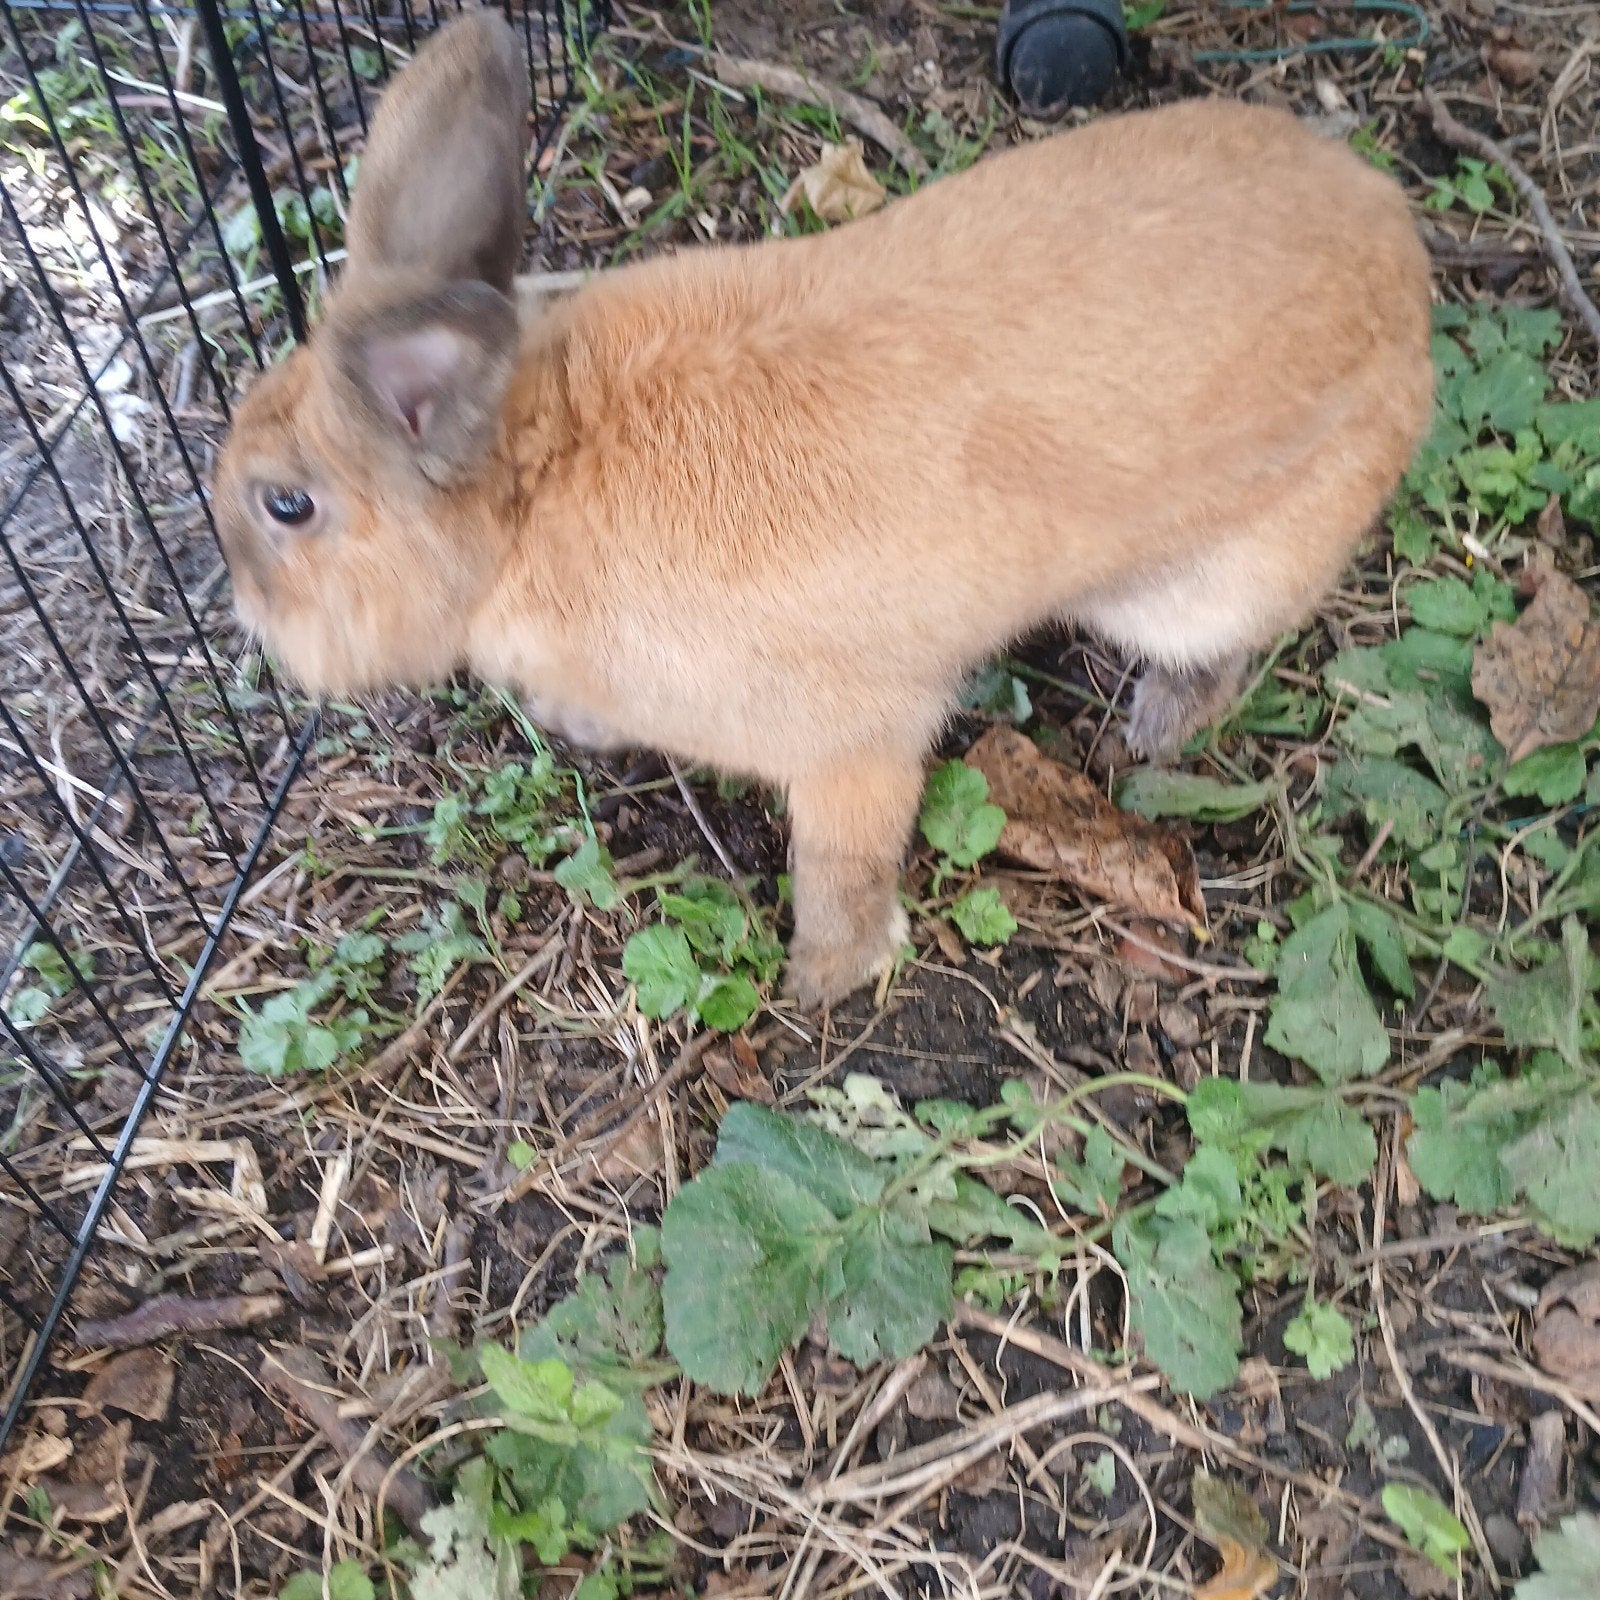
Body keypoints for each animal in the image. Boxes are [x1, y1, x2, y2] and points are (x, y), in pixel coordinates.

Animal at [213, 11, 1435, 1009]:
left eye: (288, 506)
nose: (250, 620)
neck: (529, 492)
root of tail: (1404, 260)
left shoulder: (853, 743)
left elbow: (844, 862)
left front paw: (824, 978)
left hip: (1202, 579)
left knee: (1221, 649)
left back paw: (1159, 724)